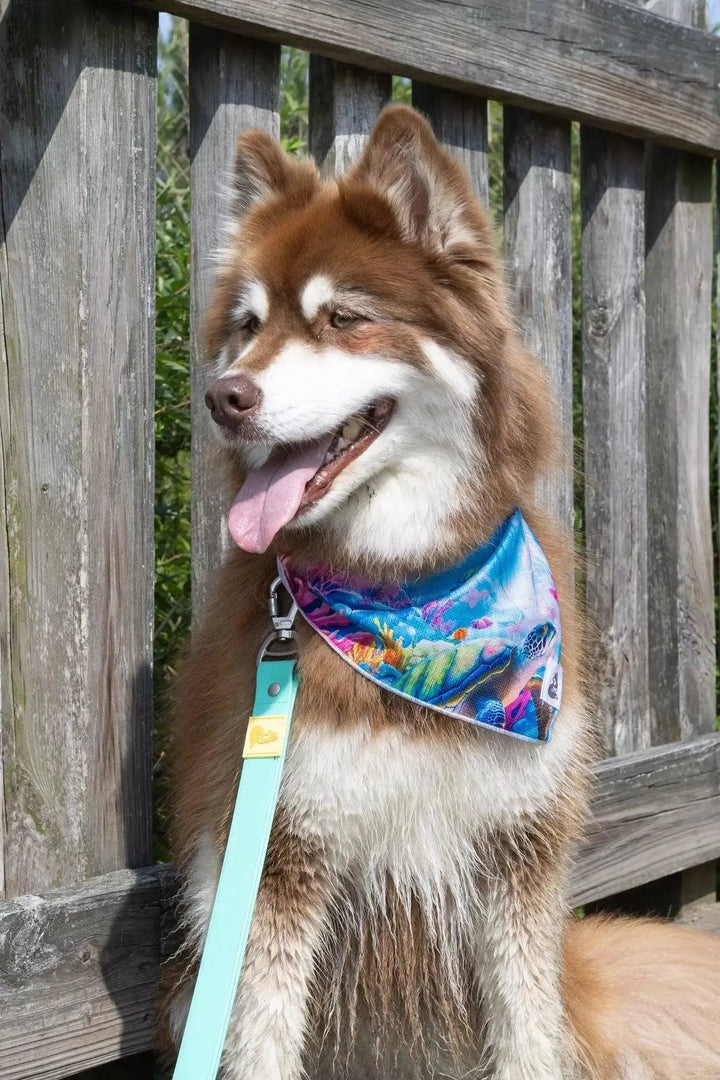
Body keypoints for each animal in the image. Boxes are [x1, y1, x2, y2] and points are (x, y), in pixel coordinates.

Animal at [162, 103, 720, 1080]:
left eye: (342, 317)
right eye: (248, 324)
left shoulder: (519, 853)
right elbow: (262, 1038)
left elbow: (528, 1036)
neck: (409, 591)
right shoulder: (276, 861)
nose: (223, 396)